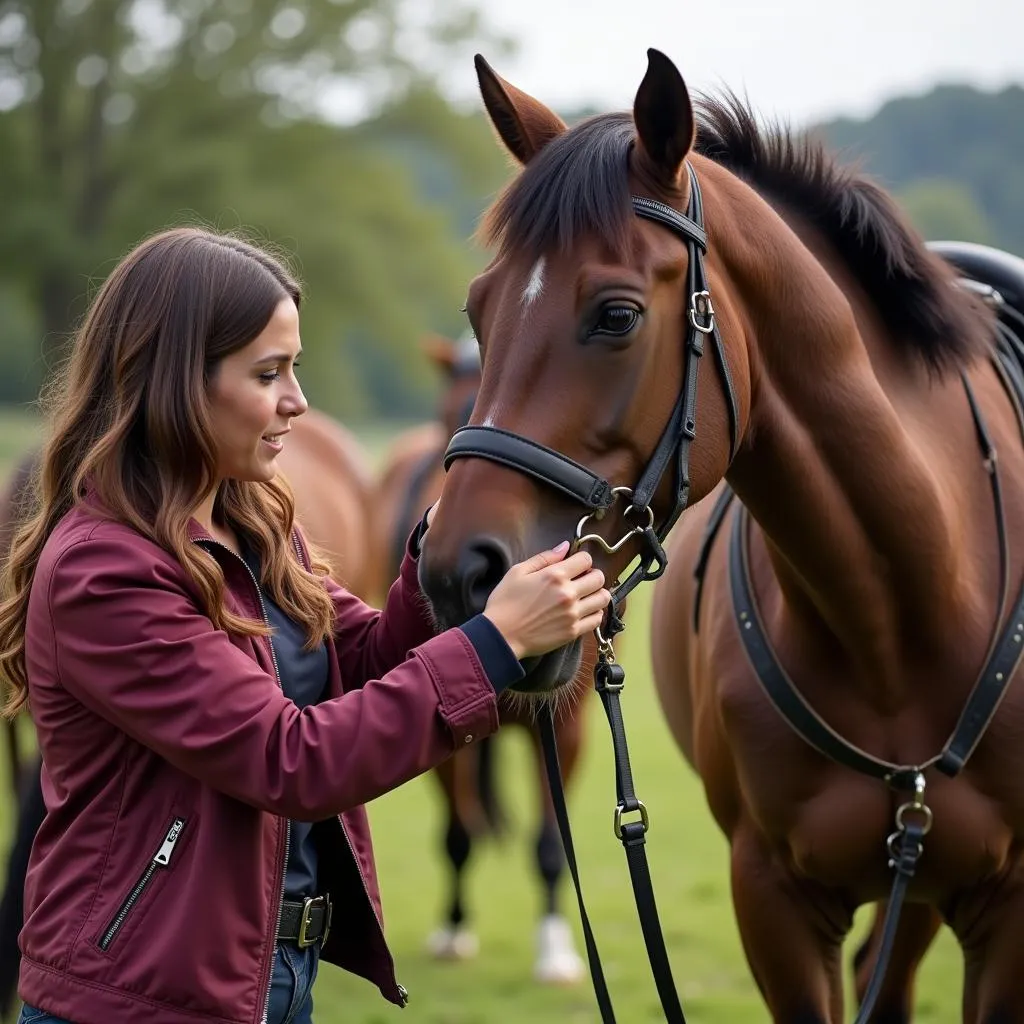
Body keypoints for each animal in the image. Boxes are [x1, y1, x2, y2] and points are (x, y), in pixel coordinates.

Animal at [374, 335, 589, 983]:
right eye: (447, 420)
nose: (456, 574)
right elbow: (457, 832)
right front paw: (452, 930)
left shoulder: (568, 727)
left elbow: (550, 844)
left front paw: (554, 948)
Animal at [417, 46, 1024, 1024]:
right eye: (480, 310)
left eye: (617, 314)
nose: (457, 575)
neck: (899, 617)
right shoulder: (773, 903)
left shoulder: (1006, 916)